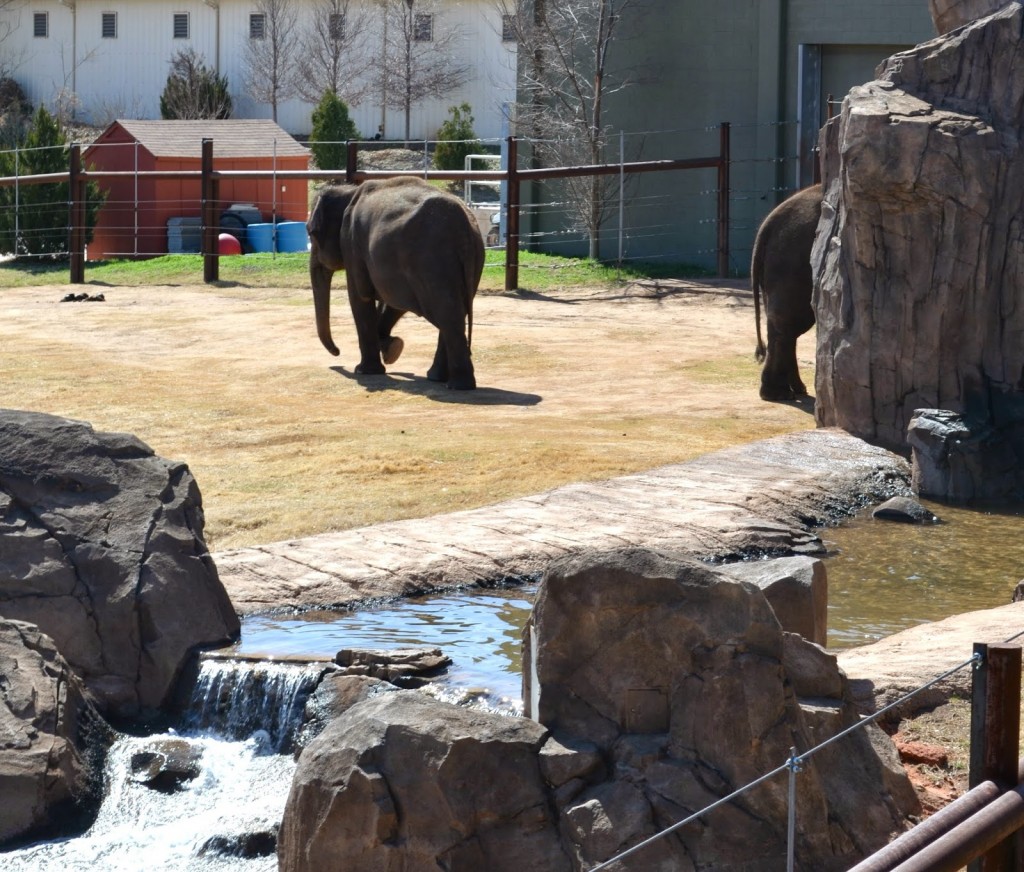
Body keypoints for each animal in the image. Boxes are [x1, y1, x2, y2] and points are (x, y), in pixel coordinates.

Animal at [307, 177, 485, 390]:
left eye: (311, 233)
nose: (337, 352)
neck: (348, 192)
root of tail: (464, 228)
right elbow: (392, 302)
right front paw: (393, 349)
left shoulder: (352, 245)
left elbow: (360, 295)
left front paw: (365, 370)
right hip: (470, 260)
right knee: (456, 311)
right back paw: (438, 378)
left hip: (432, 261)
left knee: (448, 315)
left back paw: (458, 385)